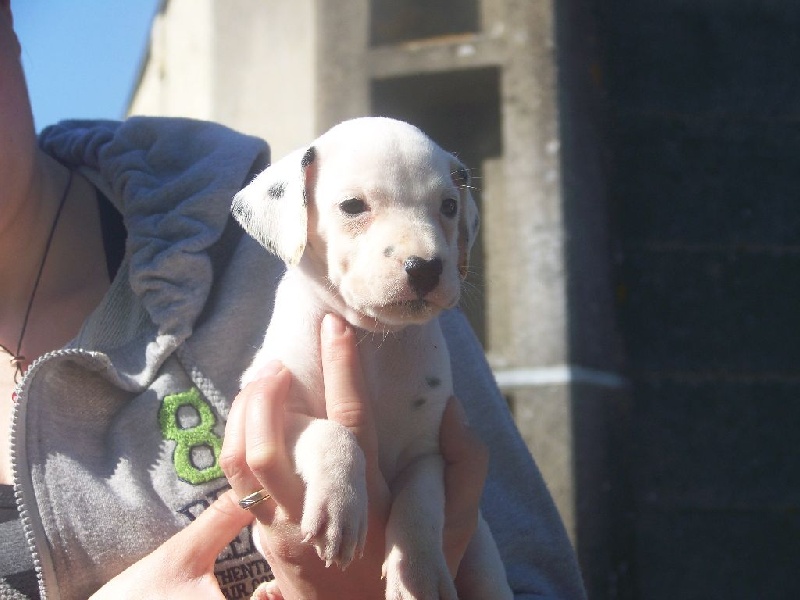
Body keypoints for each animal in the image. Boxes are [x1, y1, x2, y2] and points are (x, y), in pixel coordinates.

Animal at [233, 117, 512, 599]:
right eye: (352, 206)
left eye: (449, 206)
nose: (426, 267)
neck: (371, 340)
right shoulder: (271, 410)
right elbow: (333, 434)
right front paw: (339, 507)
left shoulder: (428, 451)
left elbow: (420, 503)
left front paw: (418, 572)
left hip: (485, 556)